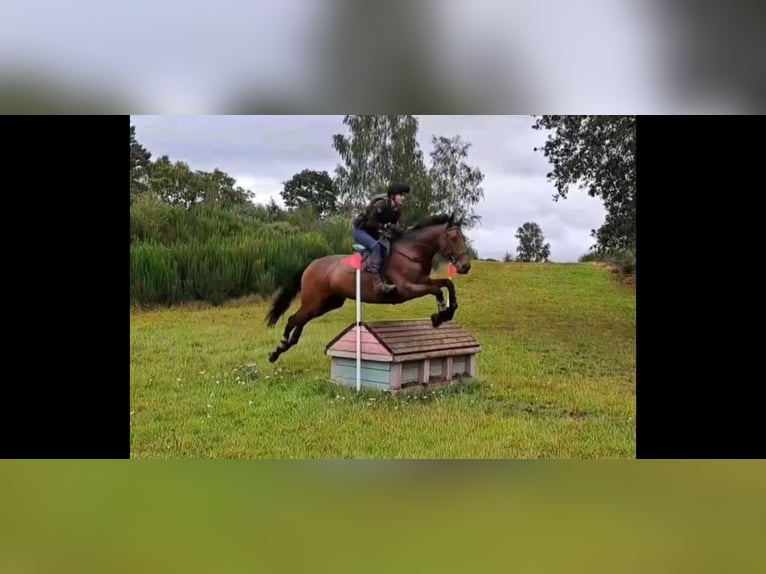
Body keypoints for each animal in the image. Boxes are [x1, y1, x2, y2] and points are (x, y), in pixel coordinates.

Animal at [268, 212, 476, 364]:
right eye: (453, 237)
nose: (465, 266)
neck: (412, 252)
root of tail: (311, 264)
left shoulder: (424, 280)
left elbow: (447, 284)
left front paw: (449, 311)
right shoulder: (407, 289)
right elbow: (437, 290)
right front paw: (439, 316)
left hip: (327, 303)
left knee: (300, 320)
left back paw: (284, 347)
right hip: (314, 301)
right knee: (293, 319)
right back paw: (278, 349)